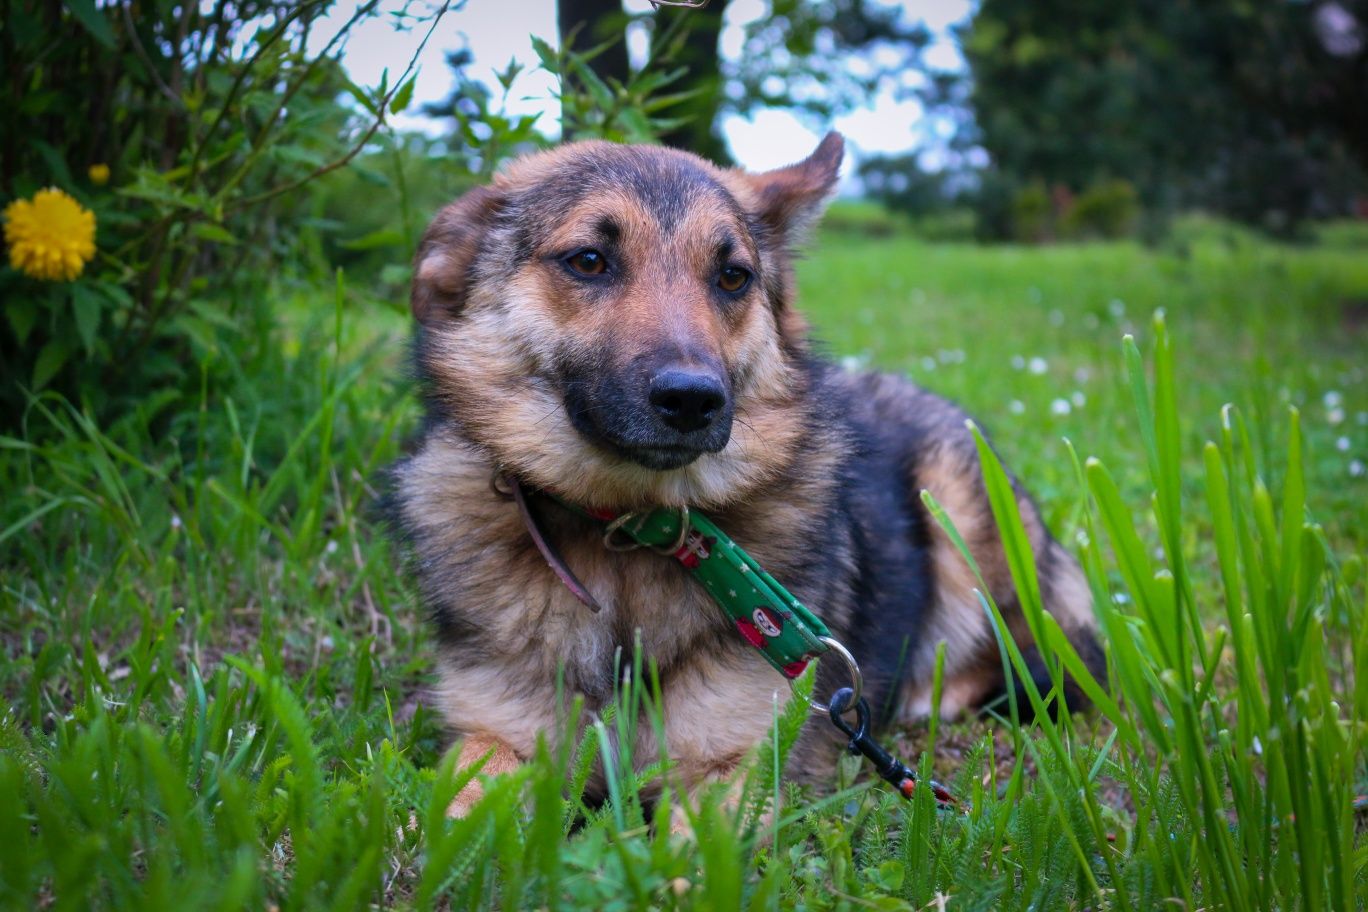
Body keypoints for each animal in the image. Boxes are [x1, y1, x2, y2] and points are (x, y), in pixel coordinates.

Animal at [385, 131, 1099, 814]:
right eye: (588, 260)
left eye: (732, 276)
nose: (691, 399)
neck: (629, 537)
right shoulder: (494, 737)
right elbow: (453, 815)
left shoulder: (737, 768)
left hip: (960, 514)